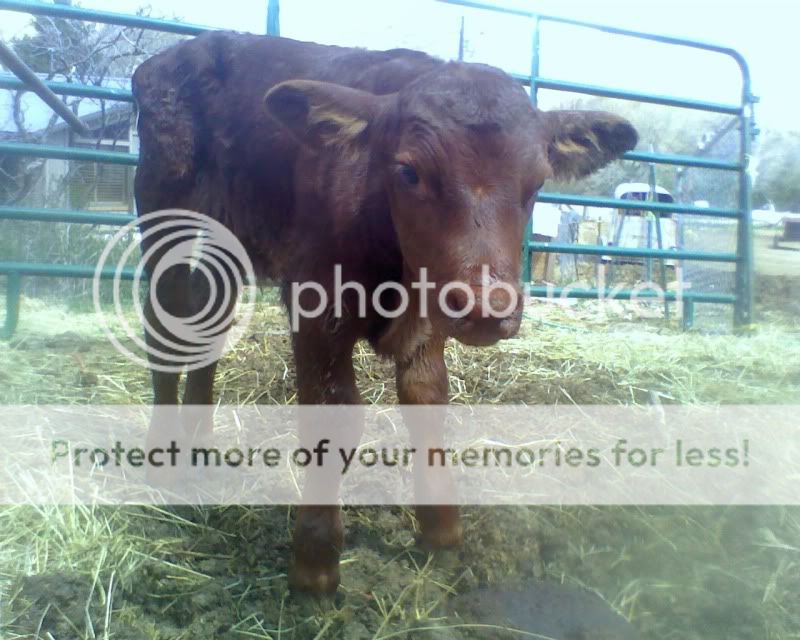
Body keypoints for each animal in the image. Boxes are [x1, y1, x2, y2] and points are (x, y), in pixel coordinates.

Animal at [132, 31, 637, 595]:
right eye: (409, 171)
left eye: (536, 184)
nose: (488, 308)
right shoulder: (315, 302)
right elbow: (333, 413)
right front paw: (315, 560)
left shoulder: (430, 311)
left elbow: (426, 398)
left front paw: (441, 529)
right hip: (169, 228)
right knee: (165, 328)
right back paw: (162, 460)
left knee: (209, 330)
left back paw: (200, 445)